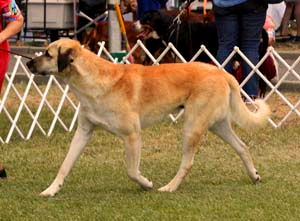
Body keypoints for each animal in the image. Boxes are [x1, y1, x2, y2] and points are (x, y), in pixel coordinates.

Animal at [26, 38, 270, 196]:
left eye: (47, 54)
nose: (28, 63)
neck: (92, 80)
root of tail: (221, 72)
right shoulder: (83, 132)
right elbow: (65, 165)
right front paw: (51, 190)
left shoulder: (133, 136)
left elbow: (132, 171)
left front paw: (147, 184)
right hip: (216, 125)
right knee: (242, 146)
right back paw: (255, 176)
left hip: (192, 126)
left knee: (188, 162)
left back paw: (170, 187)